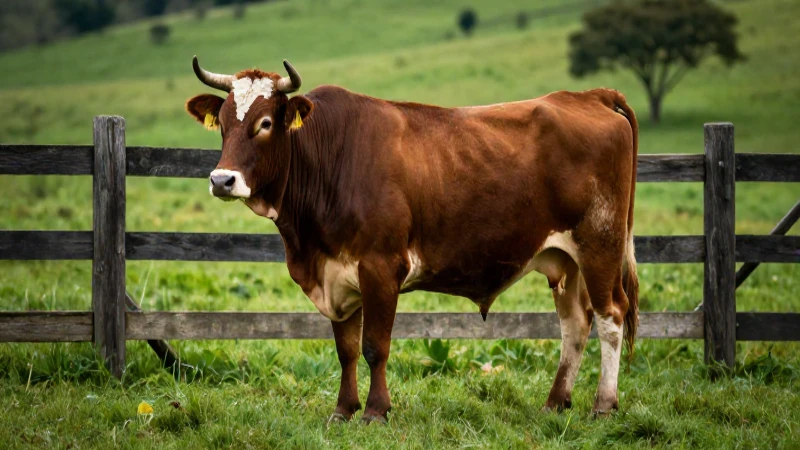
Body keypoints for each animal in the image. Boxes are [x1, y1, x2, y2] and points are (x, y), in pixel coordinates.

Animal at [185, 57, 639, 423]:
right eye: (223, 124)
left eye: (264, 124)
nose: (222, 180)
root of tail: (590, 96)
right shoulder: (336, 274)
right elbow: (346, 349)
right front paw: (343, 410)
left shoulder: (381, 268)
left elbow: (375, 346)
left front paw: (374, 411)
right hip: (564, 260)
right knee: (575, 324)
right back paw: (555, 402)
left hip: (599, 245)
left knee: (611, 317)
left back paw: (603, 404)